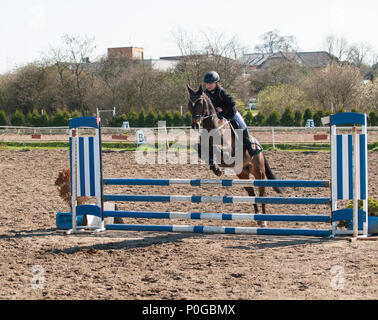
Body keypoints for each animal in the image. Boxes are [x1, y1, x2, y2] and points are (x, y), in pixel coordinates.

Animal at [188, 84, 282, 222]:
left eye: (200, 103)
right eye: (189, 104)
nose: (195, 125)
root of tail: (258, 144)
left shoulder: (228, 152)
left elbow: (214, 148)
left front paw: (216, 168)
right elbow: (200, 149)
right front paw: (215, 168)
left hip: (259, 172)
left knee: (262, 192)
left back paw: (263, 219)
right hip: (242, 173)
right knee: (251, 193)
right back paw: (257, 217)